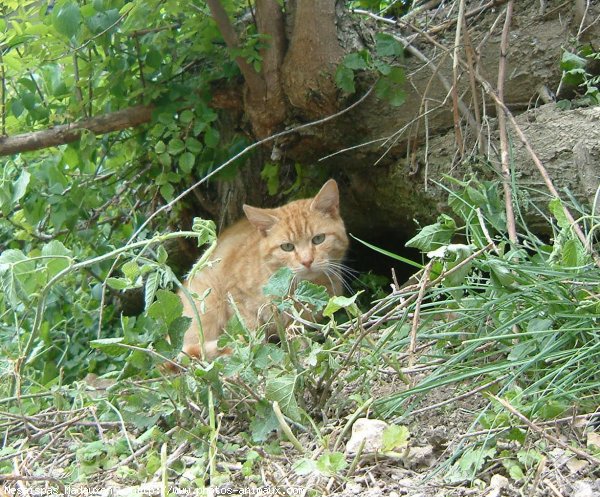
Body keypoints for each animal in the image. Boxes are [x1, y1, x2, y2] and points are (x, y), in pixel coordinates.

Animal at [179, 178, 346, 360]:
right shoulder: (236, 298)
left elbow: (296, 337)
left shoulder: (300, 321)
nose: (307, 261)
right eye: (287, 247)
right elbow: (252, 334)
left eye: (318, 239)